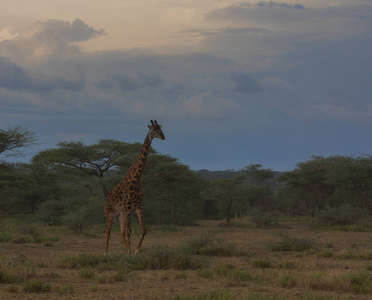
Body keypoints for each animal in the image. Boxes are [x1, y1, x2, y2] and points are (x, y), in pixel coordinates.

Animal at [103, 120, 164, 254]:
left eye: (161, 129)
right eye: (153, 130)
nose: (163, 137)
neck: (135, 180)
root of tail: (107, 197)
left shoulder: (137, 207)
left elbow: (143, 229)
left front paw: (134, 251)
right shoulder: (127, 209)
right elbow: (129, 232)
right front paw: (130, 252)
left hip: (121, 214)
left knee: (120, 231)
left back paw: (125, 250)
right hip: (109, 213)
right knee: (108, 230)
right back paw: (106, 253)